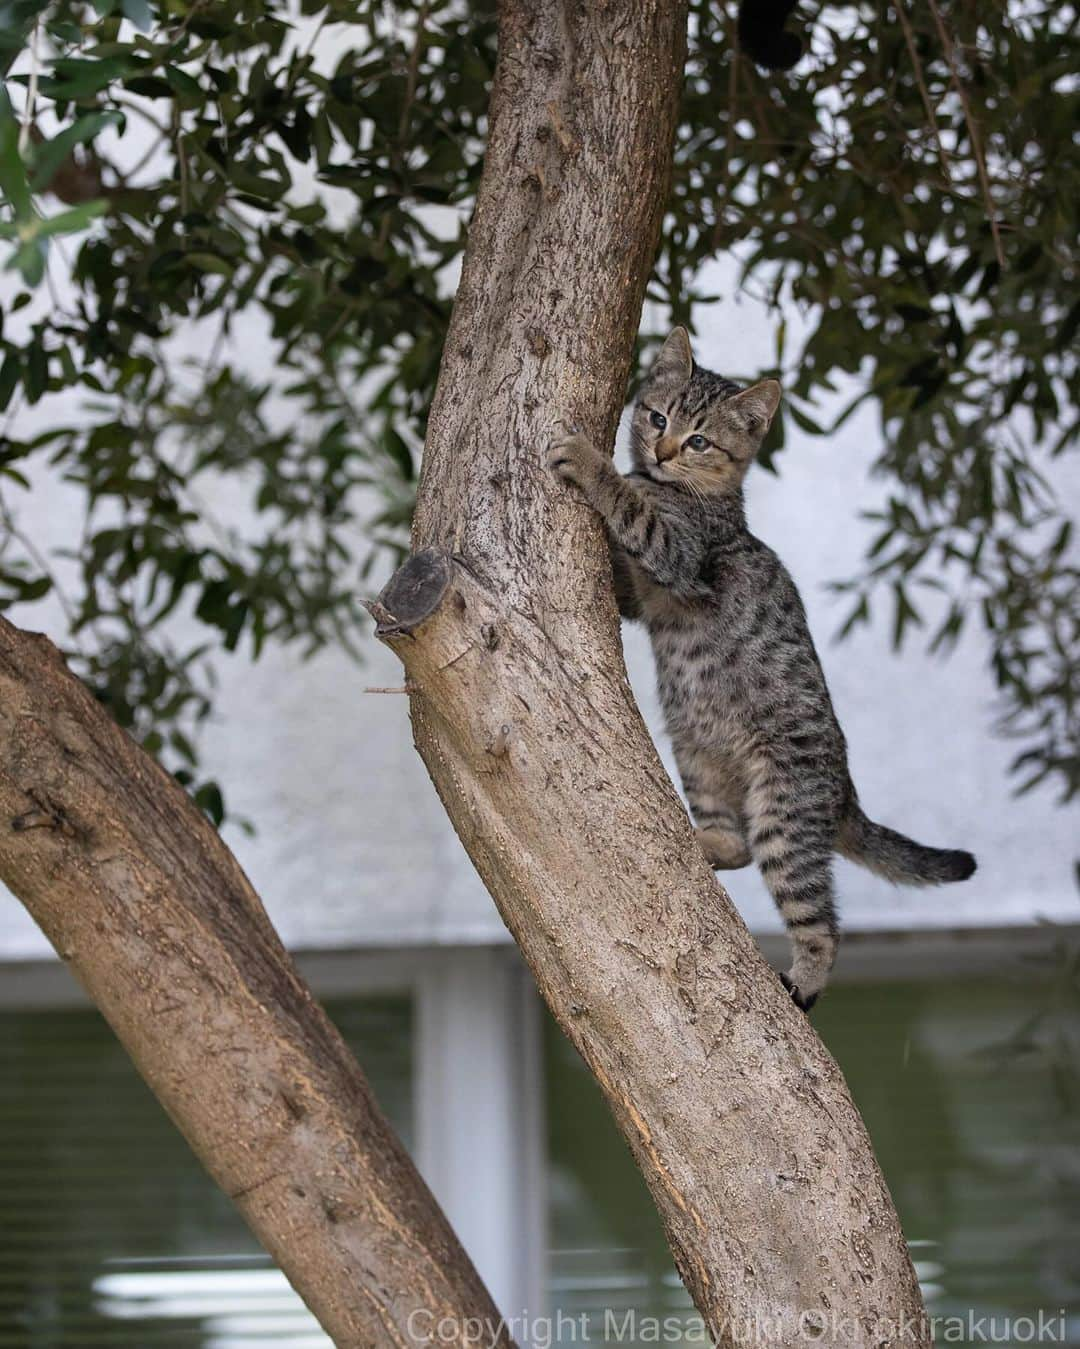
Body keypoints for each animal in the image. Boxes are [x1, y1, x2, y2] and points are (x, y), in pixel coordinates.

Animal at [547, 326, 976, 1009]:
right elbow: (625, 569)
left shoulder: (681, 556)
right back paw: (697, 842)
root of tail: (844, 790)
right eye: (658, 417)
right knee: (735, 845)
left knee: (819, 918)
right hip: (697, 755)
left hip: (784, 811)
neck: (698, 495)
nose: (662, 452)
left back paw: (805, 979)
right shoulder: (643, 599)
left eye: (700, 440)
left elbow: (631, 506)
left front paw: (592, 463)